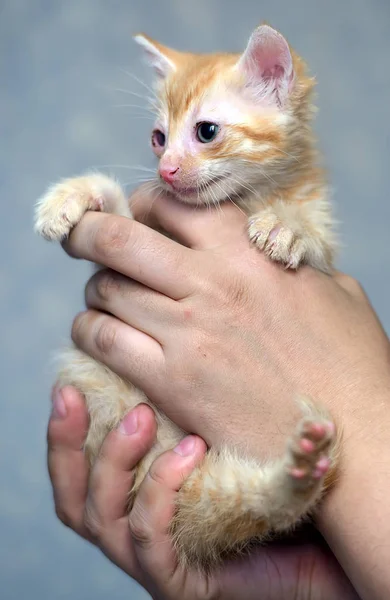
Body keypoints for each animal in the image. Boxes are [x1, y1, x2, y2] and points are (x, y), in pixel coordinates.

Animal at [34, 23, 338, 568]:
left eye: (206, 132)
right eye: (158, 138)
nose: (167, 171)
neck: (244, 201)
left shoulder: (325, 246)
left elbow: (313, 236)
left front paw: (288, 226)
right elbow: (124, 222)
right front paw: (75, 194)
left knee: (254, 510)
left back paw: (301, 469)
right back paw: (300, 467)